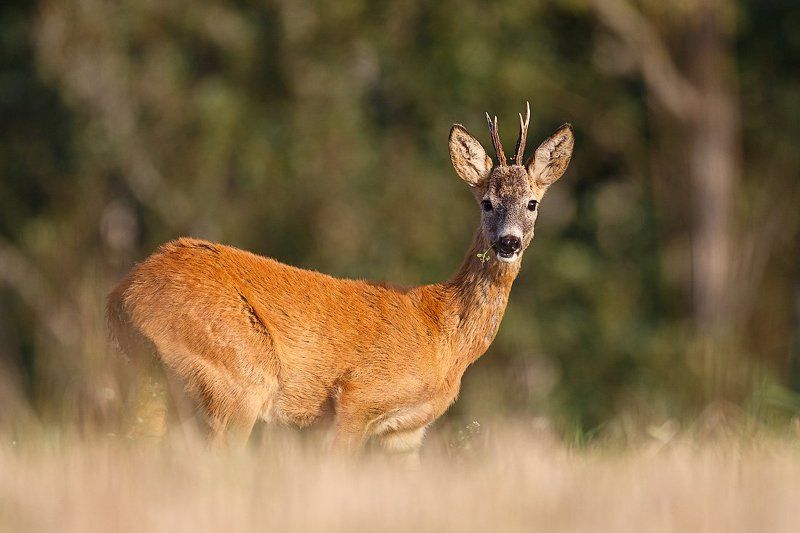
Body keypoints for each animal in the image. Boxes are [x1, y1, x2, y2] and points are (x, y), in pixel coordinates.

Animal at [106, 103, 574, 462]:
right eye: (487, 203)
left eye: (532, 203)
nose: (508, 242)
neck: (444, 335)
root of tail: (122, 294)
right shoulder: (357, 395)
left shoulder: (405, 433)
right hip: (237, 375)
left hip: (151, 378)